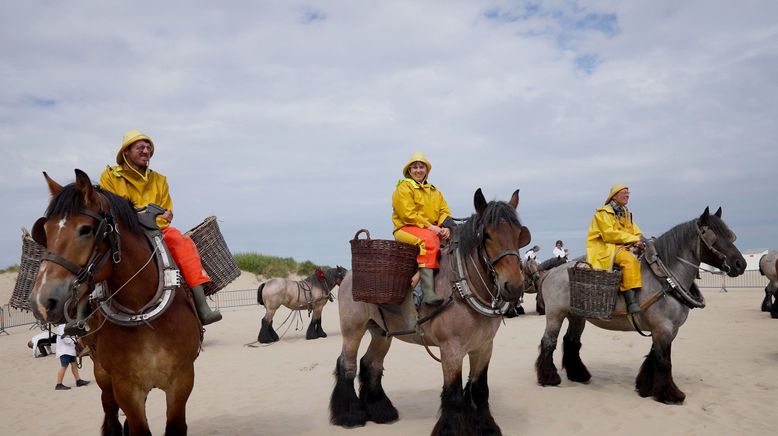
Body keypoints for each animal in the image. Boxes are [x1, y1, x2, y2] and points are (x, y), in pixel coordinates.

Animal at [28, 170, 200, 436]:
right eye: (45, 231)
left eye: (86, 229)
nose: (42, 301)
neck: (142, 313)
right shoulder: (125, 387)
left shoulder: (181, 380)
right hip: (103, 375)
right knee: (109, 413)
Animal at [328, 189, 528, 434]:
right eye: (487, 235)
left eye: (518, 234)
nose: (514, 286)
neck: (462, 286)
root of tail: (348, 275)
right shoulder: (451, 350)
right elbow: (453, 394)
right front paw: (452, 429)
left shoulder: (484, 348)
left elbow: (480, 390)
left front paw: (485, 426)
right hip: (353, 330)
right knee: (347, 365)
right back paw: (350, 415)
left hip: (382, 333)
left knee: (370, 364)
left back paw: (380, 410)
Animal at [532, 209, 744, 406]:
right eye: (713, 237)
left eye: (730, 235)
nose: (740, 264)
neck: (666, 279)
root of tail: (551, 272)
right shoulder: (663, 328)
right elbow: (664, 361)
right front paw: (670, 394)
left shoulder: (667, 330)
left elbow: (653, 357)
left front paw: (646, 387)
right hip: (555, 314)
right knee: (549, 342)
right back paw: (549, 378)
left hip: (577, 316)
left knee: (571, 341)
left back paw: (578, 374)